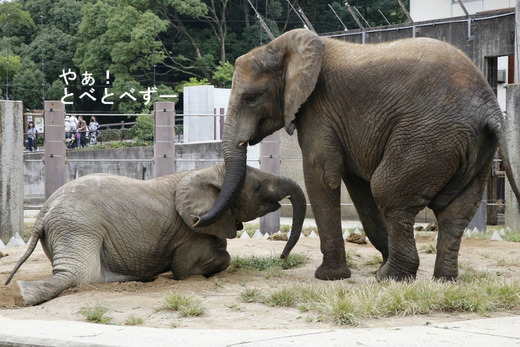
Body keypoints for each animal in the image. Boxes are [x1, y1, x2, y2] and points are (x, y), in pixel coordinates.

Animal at [195, 28, 520, 282]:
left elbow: (322, 176)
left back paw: (390, 277)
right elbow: (357, 186)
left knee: (388, 189)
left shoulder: (318, 109)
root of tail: (489, 104)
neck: (284, 47)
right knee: (455, 211)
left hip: (430, 135)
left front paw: (329, 277)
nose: (282, 258)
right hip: (472, 146)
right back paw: (440, 280)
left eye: (251, 98)